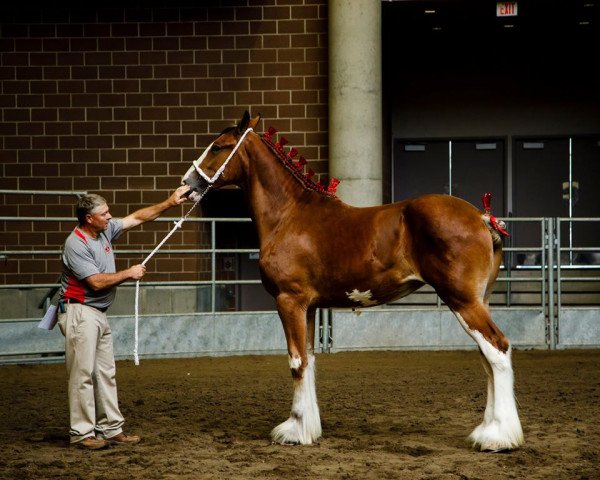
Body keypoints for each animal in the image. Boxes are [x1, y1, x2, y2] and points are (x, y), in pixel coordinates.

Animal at [180, 110, 524, 452]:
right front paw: (308, 428)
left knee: (497, 350)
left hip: (462, 301)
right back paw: (488, 431)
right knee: (488, 358)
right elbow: (309, 360)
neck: (289, 215)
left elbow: (296, 362)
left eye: (218, 147)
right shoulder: (308, 307)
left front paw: (295, 431)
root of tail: (481, 217)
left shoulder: (289, 301)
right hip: (479, 301)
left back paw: (498, 437)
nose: (187, 184)